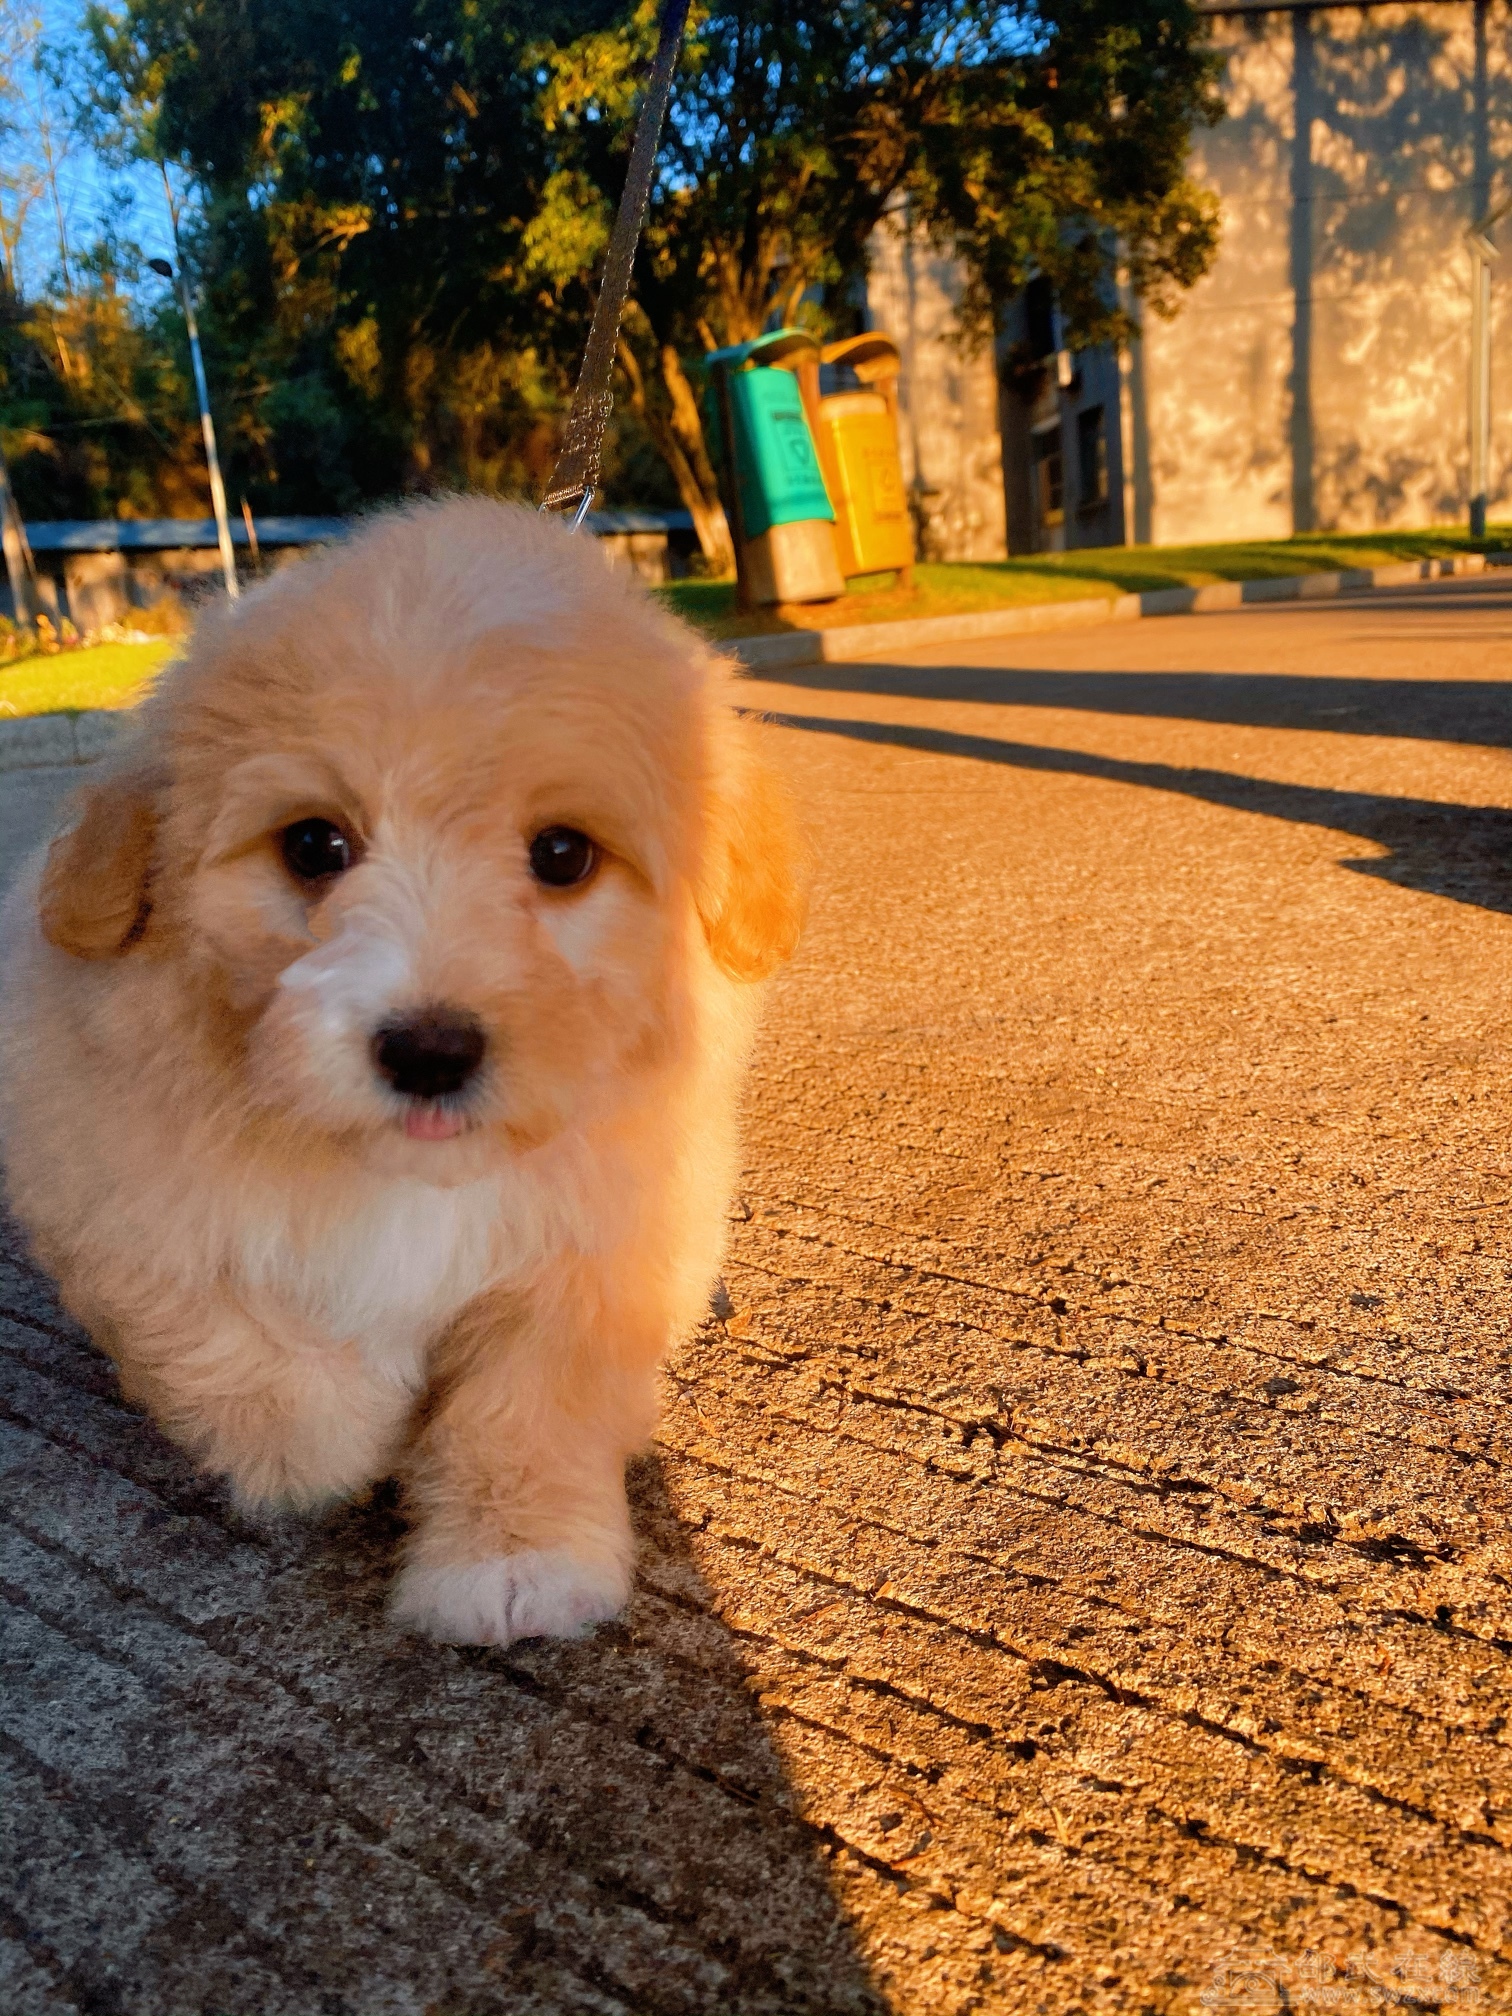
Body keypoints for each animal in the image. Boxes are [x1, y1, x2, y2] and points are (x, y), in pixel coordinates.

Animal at [0, 497, 802, 1646]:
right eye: (313, 845)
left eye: (563, 855)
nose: (429, 1049)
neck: (412, 1180)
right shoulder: (109, 1189)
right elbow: (217, 1341)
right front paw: (343, 1432)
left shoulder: (609, 1248)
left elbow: (532, 1401)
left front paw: (513, 1558)